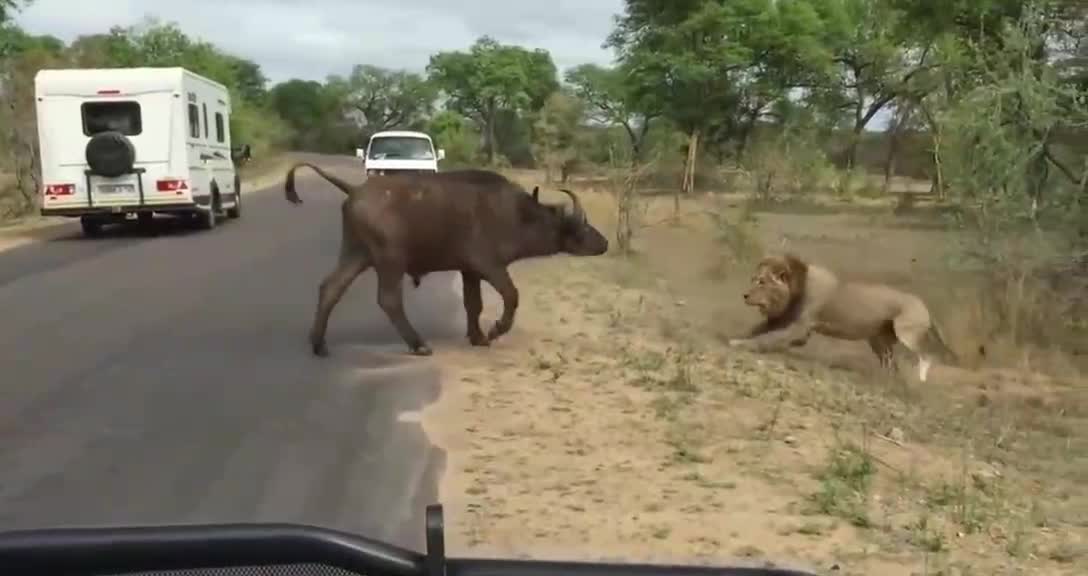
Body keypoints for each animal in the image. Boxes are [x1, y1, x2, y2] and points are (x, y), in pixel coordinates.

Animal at [282, 161, 613, 357]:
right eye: (583, 227)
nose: (605, 243)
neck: (517, 214)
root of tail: (355, 190)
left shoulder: (469, 271)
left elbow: (473, 304)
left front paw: (477, 336)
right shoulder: (489, 266)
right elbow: (511, 295)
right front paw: (494, 331)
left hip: (356, 253)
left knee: (331, 287)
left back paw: (319, 343)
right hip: (390, 260)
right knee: (388, 300)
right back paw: (418, 344)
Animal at [726, 252, 957, 381]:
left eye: (762, 282)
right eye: (754, 279)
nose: (745, 295)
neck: (795, 289)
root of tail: (924, 304)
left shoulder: (798, 329)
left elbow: (766, 338)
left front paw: (740, 345)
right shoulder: (784, 320)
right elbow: (756, 330)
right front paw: (733, 337)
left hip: (906, 331)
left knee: (927, 354)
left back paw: (921, 376)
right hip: (879, 341)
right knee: (891, 364)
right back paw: (883, 381)